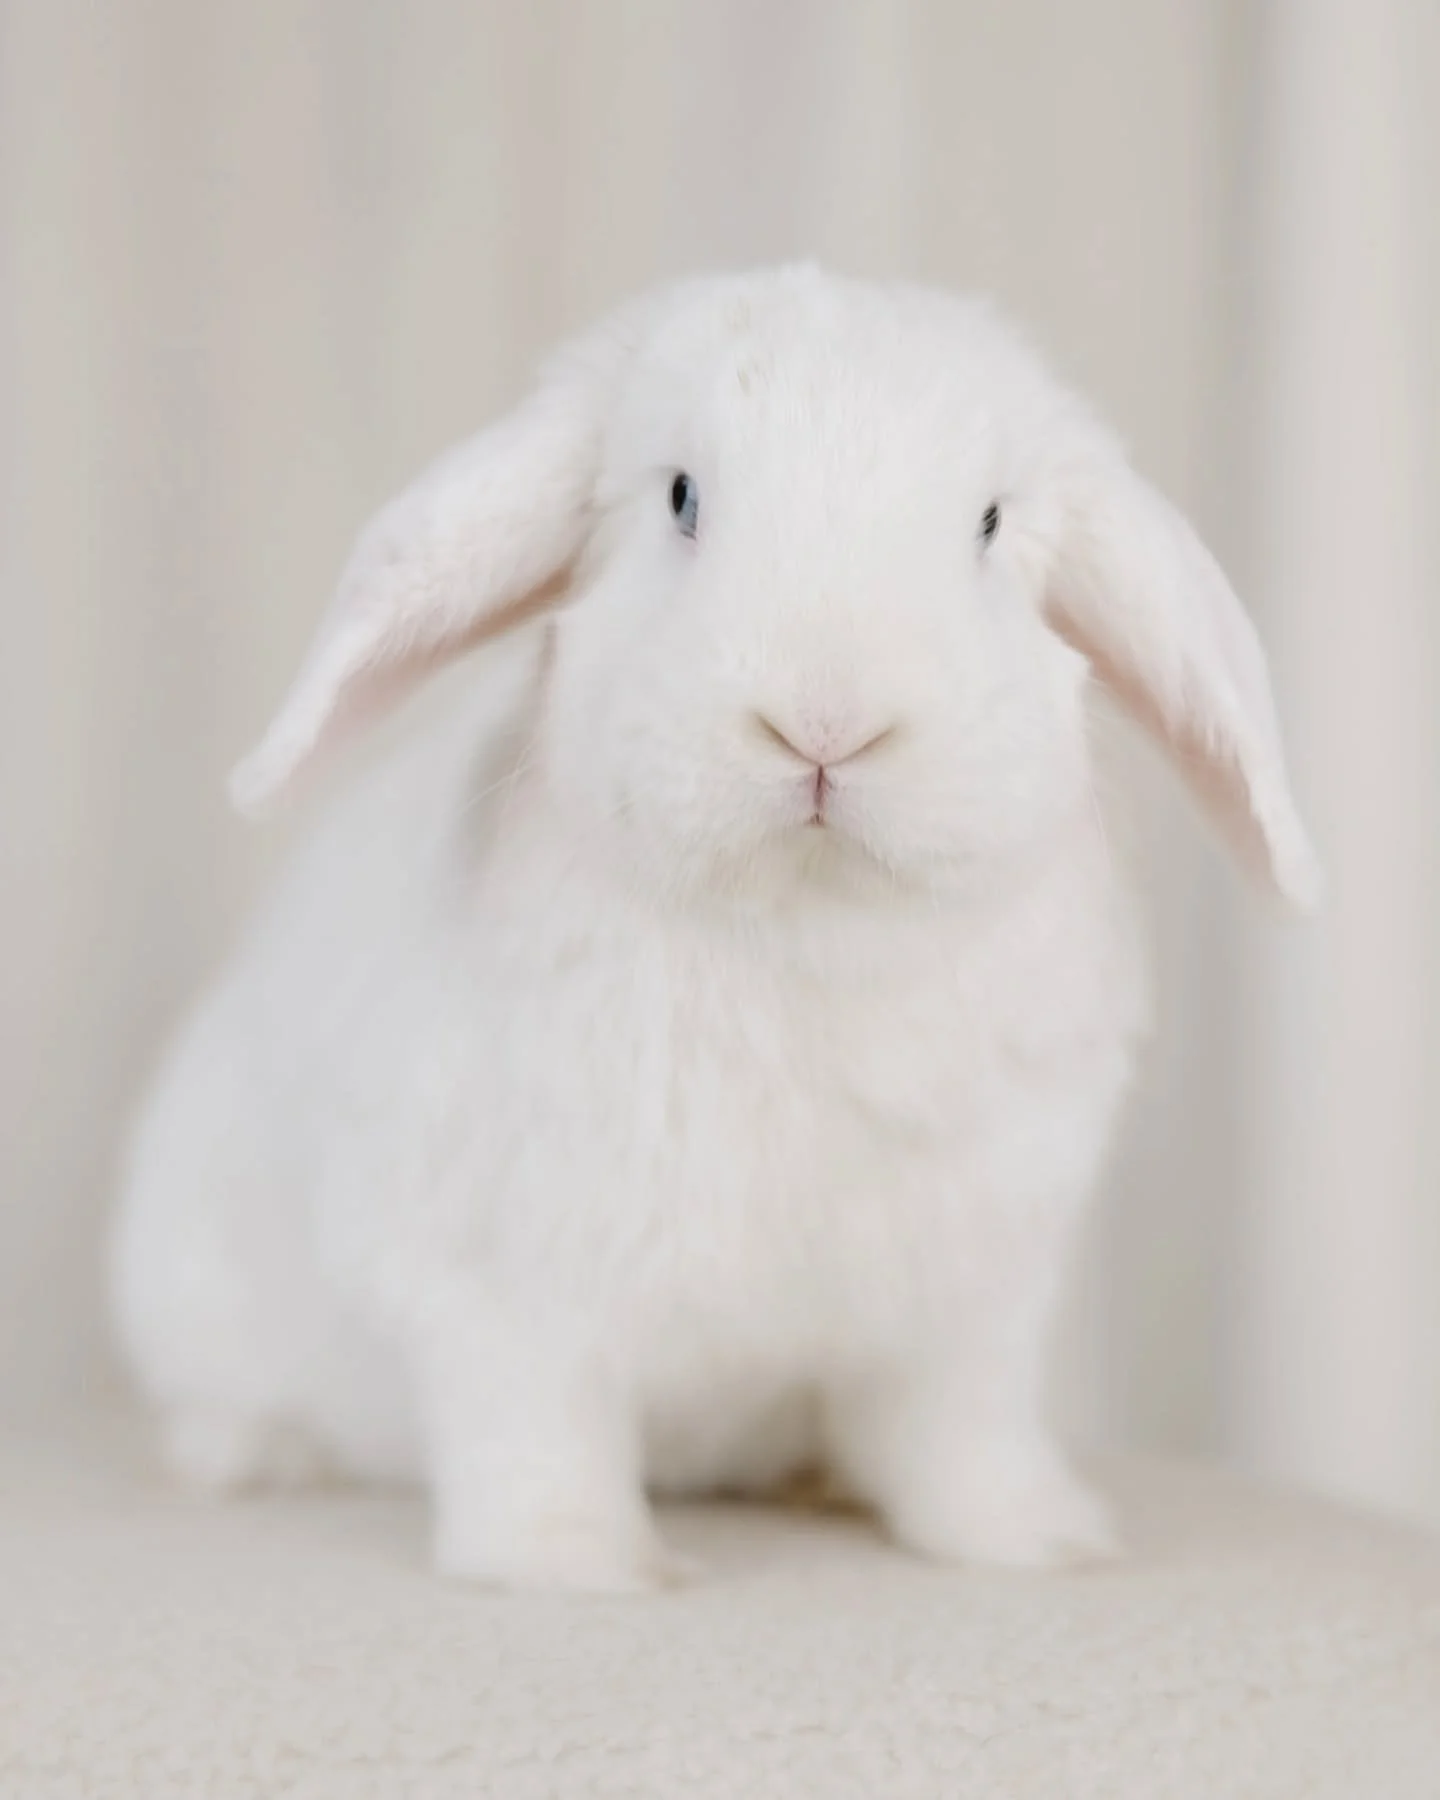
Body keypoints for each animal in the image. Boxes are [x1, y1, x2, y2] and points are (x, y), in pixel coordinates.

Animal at [111, 265, 1319, 1592]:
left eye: (991, 524)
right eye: (684, 497)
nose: (826, 720)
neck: (805, 925)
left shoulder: (971, 1309)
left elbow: (963, 1439)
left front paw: (1039, 1543)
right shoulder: (497, 1293)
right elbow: (535, 1437)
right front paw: (584, 1570)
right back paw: (252, 1459)